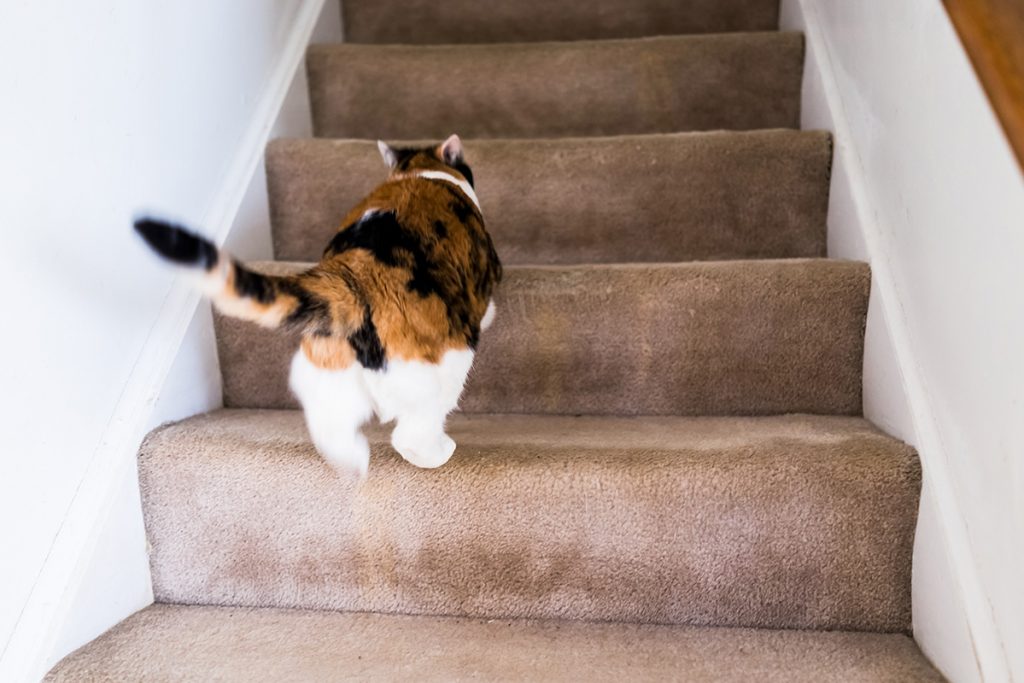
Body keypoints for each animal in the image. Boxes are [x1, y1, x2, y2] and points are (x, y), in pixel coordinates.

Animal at [136, 133, 503, 475]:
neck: (419, 170)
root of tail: (353, 273)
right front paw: (491, 316)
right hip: (443, 359)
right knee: (413, 430)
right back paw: (436, 453)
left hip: (325, 366)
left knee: (330, 420)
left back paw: (351, 461)